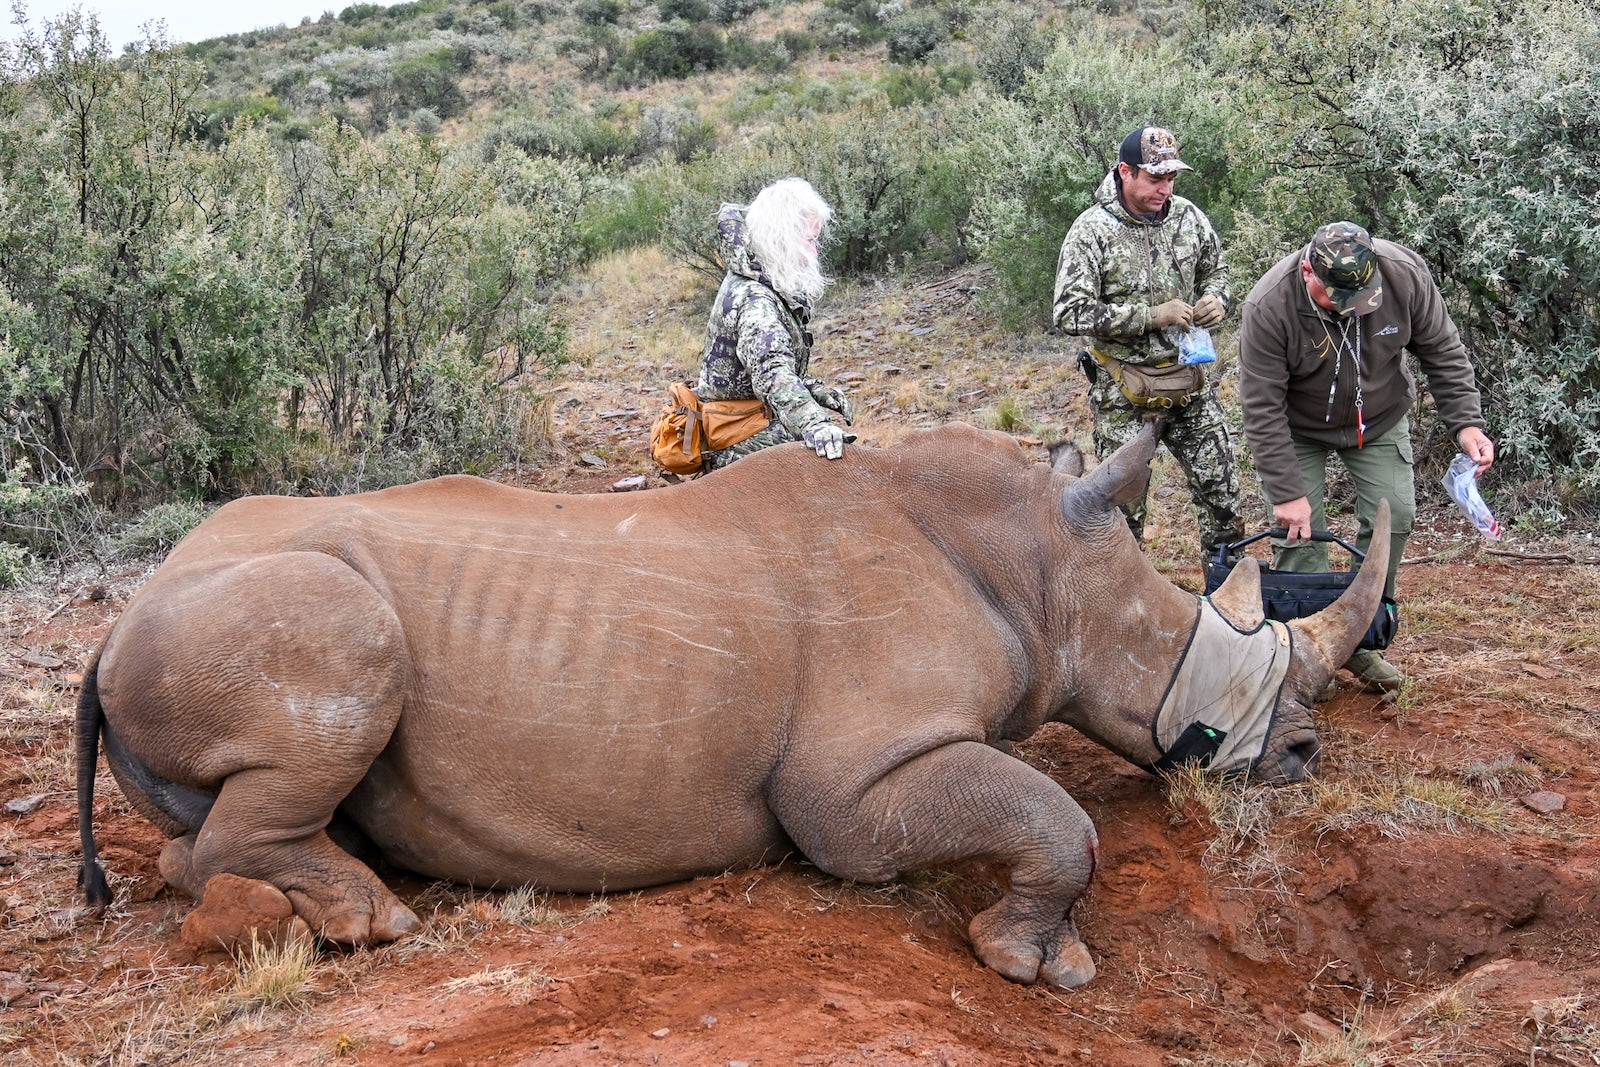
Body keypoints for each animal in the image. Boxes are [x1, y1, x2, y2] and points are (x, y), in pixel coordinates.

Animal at [77, 421, 1388, 988]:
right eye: (1183, 642)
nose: (1306, 754)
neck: (1038, 563)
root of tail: (109, 622)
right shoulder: (847, 787)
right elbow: (1048, 814)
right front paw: (1038, 966)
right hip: (277, 612)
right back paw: (368, 920)